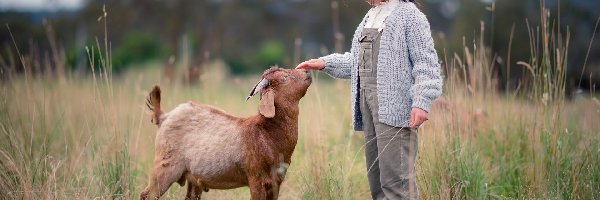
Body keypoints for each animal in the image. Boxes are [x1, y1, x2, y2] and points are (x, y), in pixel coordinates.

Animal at [139, 66, 312, 199]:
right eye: (284, 78)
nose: (307, 72)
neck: (266, 133)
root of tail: (164, 116)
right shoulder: (256, 178)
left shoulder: (276, 182)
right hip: (165, 166)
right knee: (146, 195)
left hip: (191, 178)